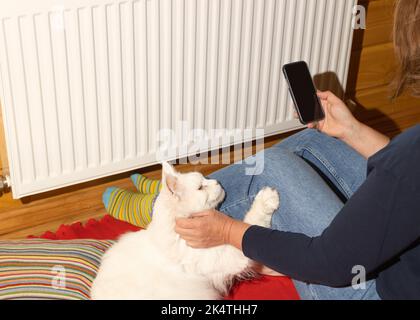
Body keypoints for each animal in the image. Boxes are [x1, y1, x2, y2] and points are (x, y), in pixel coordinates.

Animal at [92, 162, 278, 300]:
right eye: (201, 187)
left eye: (206, 179)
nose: (218, 182)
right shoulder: (230, 255)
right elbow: (252, 222)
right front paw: (267, 198)